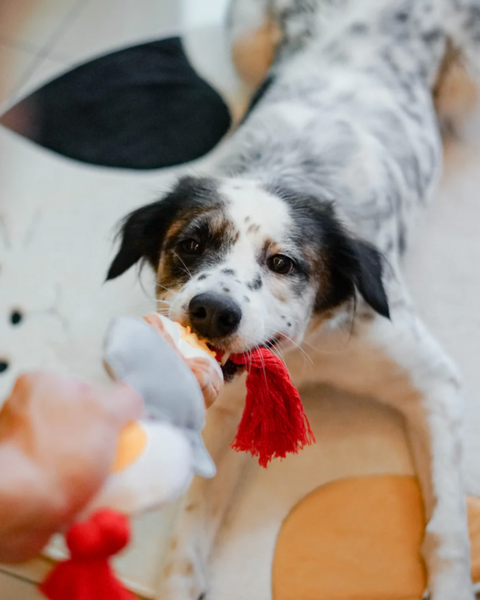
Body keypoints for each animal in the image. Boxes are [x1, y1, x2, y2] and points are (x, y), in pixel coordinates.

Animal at [105, 0, 480, 596]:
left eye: (283, 263)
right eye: (190, 245)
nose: (212, 312)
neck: (305, 350)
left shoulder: (435, 381)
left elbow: (446, 524)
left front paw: (450, 587)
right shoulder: (228, 406)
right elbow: (190, 529)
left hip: (467, 84)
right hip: (247, 37)